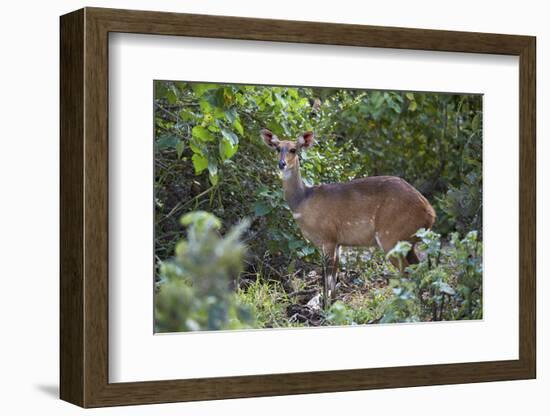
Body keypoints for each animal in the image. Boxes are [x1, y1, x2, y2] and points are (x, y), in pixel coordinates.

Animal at [260, 128, 438, 304]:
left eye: (293, 149)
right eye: (277, 148)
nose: (281, 164)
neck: (303, 201)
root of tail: (430, 213)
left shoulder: (328, 238)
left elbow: (327, 278)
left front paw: (325, 307)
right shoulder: (338, 243)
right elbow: (333, 279)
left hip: (391, 237)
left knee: (407, 273)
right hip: (408, 243)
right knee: (419, 271)